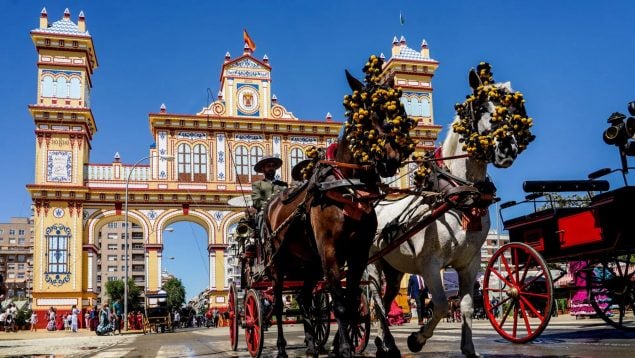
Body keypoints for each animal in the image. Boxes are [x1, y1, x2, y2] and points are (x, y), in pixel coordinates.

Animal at [266, 57, 414, 356]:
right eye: (365, 114)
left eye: (398, 110)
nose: (390, 159)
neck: (348, 187)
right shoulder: (330, 250)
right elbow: (340, 302)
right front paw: (344, 347)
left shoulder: (358, 252)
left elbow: (352, 298)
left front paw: (341, 343)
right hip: (279, 263)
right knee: (276, 304)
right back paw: (282, 347)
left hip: (308, 263)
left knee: (305, 297)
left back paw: (312, 344)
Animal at [370, 64, 536, 358]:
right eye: (480, 107)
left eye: (512, 110)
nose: (507, 147)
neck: (459, 195)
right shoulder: (429, 264)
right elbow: (441, 304)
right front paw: (416, 339)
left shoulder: (469, 263)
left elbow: (466, 305)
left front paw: (469, 348)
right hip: (372, 265)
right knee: (375, 301)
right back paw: (385, 341)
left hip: (393, 267)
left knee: (386, 300)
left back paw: (384, 342)